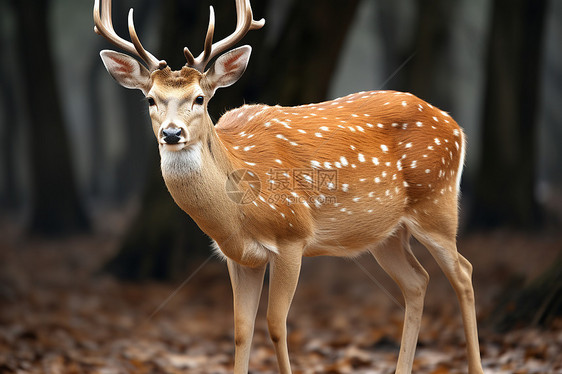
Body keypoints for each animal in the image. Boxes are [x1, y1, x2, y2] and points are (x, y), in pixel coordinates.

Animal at [92, 0, 482, 372]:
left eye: (200, 98)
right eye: (150, 99)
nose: (171, 134)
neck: (237, 217)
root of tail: (457, 127)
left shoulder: (292, 235)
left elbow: (276, 325)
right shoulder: (239, 257)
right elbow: (241, 329)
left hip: (436, 203)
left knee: (463, 272)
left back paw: (476, 365)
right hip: (386, 233)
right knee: (417, 282)